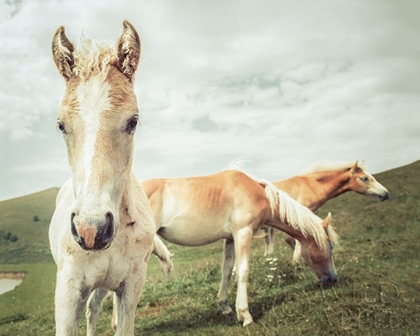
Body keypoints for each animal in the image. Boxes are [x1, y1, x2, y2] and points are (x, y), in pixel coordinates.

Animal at [141, 169, 338, 326]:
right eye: (330, 247)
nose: (333, 278)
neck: (257, 193)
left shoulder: (230, 239)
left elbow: (227, 270)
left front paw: (225, 306)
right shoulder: (243, 232)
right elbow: (243, 270)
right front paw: (245, 315)